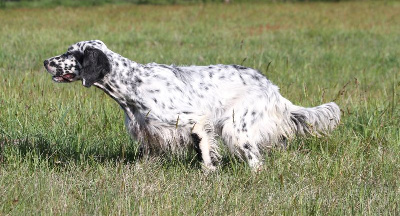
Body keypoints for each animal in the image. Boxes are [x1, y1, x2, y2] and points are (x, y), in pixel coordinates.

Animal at [43, 40, 340, 170]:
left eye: (72, 53)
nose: (45, 61)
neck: (132, 85)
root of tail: (272, 87)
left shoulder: (193, 120)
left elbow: (205, 151)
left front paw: (209, 172)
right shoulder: (149, 133)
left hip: (236, 127)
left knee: (256, 161)